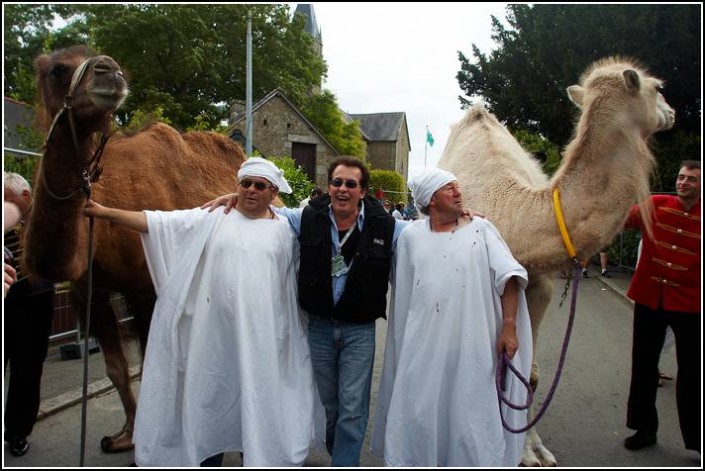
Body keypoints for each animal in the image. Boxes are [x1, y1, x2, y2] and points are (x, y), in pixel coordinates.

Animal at [24, 45, 248, 454]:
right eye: (57, 70)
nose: (109, 71)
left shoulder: (147, 288)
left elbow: (149, 363)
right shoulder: (90, 290)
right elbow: (116, 368)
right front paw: (124, 435)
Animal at [438, 57, 672, 466]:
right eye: (658, 88)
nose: (673, 112)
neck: (514, 218)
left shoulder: (539, 286)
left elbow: (529, 374)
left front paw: (533, 450)